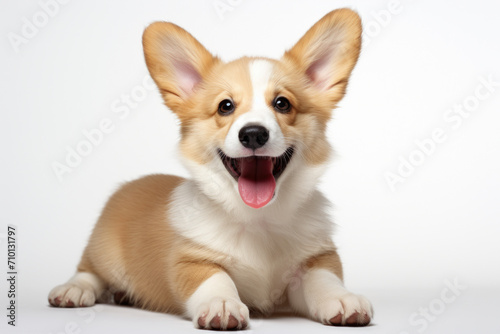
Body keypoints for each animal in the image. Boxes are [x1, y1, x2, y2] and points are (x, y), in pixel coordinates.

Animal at [48, 7, 374, 328]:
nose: (253, 134)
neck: (258, 219)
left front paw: (342, 299)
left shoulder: (317, 258)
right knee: (88, 270)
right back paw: (73, 290)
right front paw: (223, 304)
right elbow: (215, 279)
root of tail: (128, 185)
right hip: (103, 251)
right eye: (225, 106)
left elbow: (324, 278)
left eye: (282, 103)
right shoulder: (190, 260)